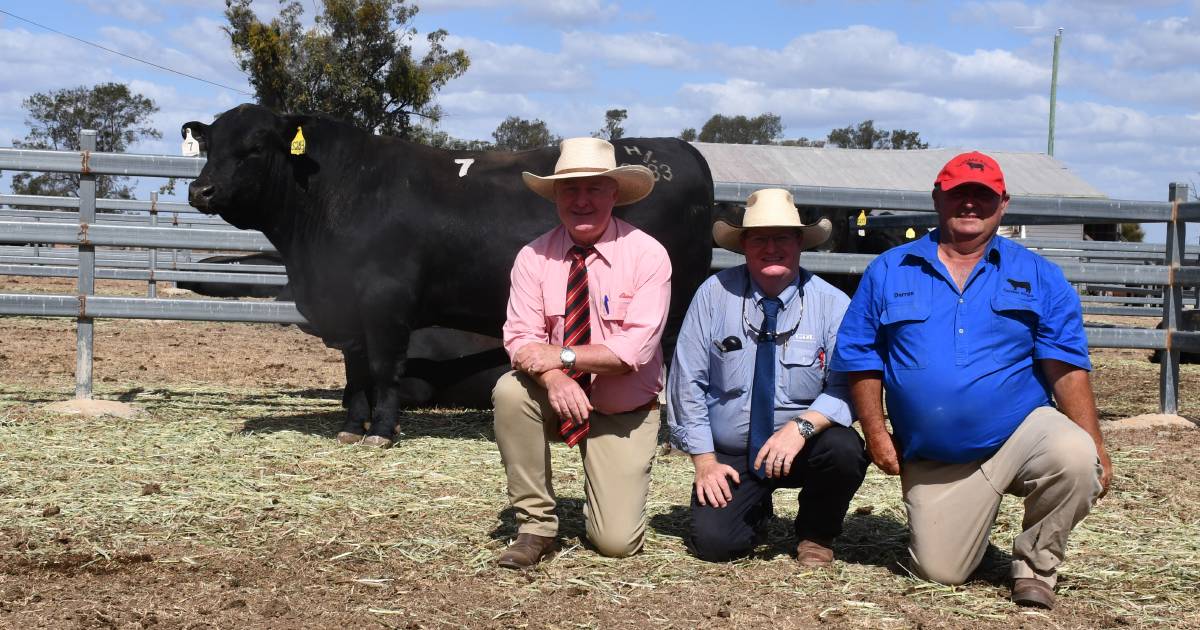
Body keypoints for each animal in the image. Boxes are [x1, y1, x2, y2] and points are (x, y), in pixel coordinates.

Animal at [183, 103, 710, 444]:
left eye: (254, 147)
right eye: (209, 146)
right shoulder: (348, 309)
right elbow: (356, 371)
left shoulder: (385, 300)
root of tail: (676, 150)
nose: (200, 190)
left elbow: (383, 368)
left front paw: (382, 431)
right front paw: (352, 428)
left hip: (671, 307)